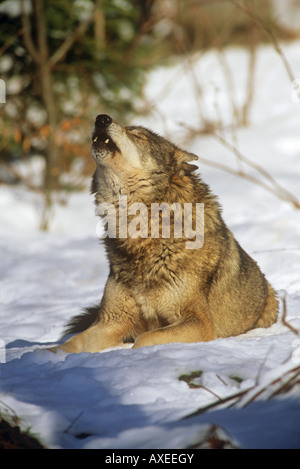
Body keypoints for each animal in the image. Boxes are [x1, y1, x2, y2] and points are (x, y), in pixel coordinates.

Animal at [52, 115, 278, 352]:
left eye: (138, 136)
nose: (101, 118)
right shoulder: (111, 320)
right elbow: (72, 342)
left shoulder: (199, 323)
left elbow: (144, 339)